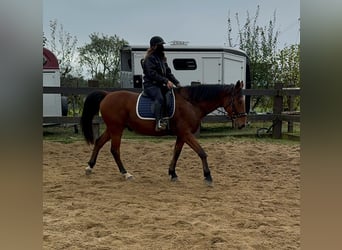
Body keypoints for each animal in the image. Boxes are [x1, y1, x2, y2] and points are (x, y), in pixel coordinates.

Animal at [81, 81, 246, 185]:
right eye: (239, 101)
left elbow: (176, 153)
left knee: (99, 142)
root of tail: (107, 95)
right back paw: (125, 173)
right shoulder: (186, 134)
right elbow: (202, 152)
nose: (242, 124)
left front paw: (173, 173)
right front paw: (208, 176)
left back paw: (89, 167)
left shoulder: (182, 135)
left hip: (112, 128)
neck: (191, 103)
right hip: (116, 129)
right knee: (114, 150)